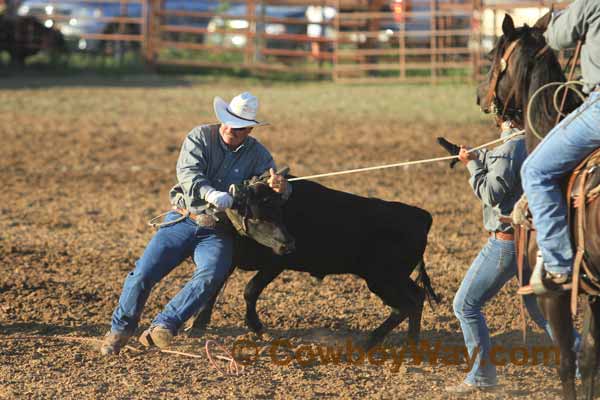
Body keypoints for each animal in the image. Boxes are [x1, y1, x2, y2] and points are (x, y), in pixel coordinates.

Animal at [476, 12, 600, 400]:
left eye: (491, 56)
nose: (478, 95)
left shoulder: (557, 296)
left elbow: (568, 363)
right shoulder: (594, 294)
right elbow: (590, 360)